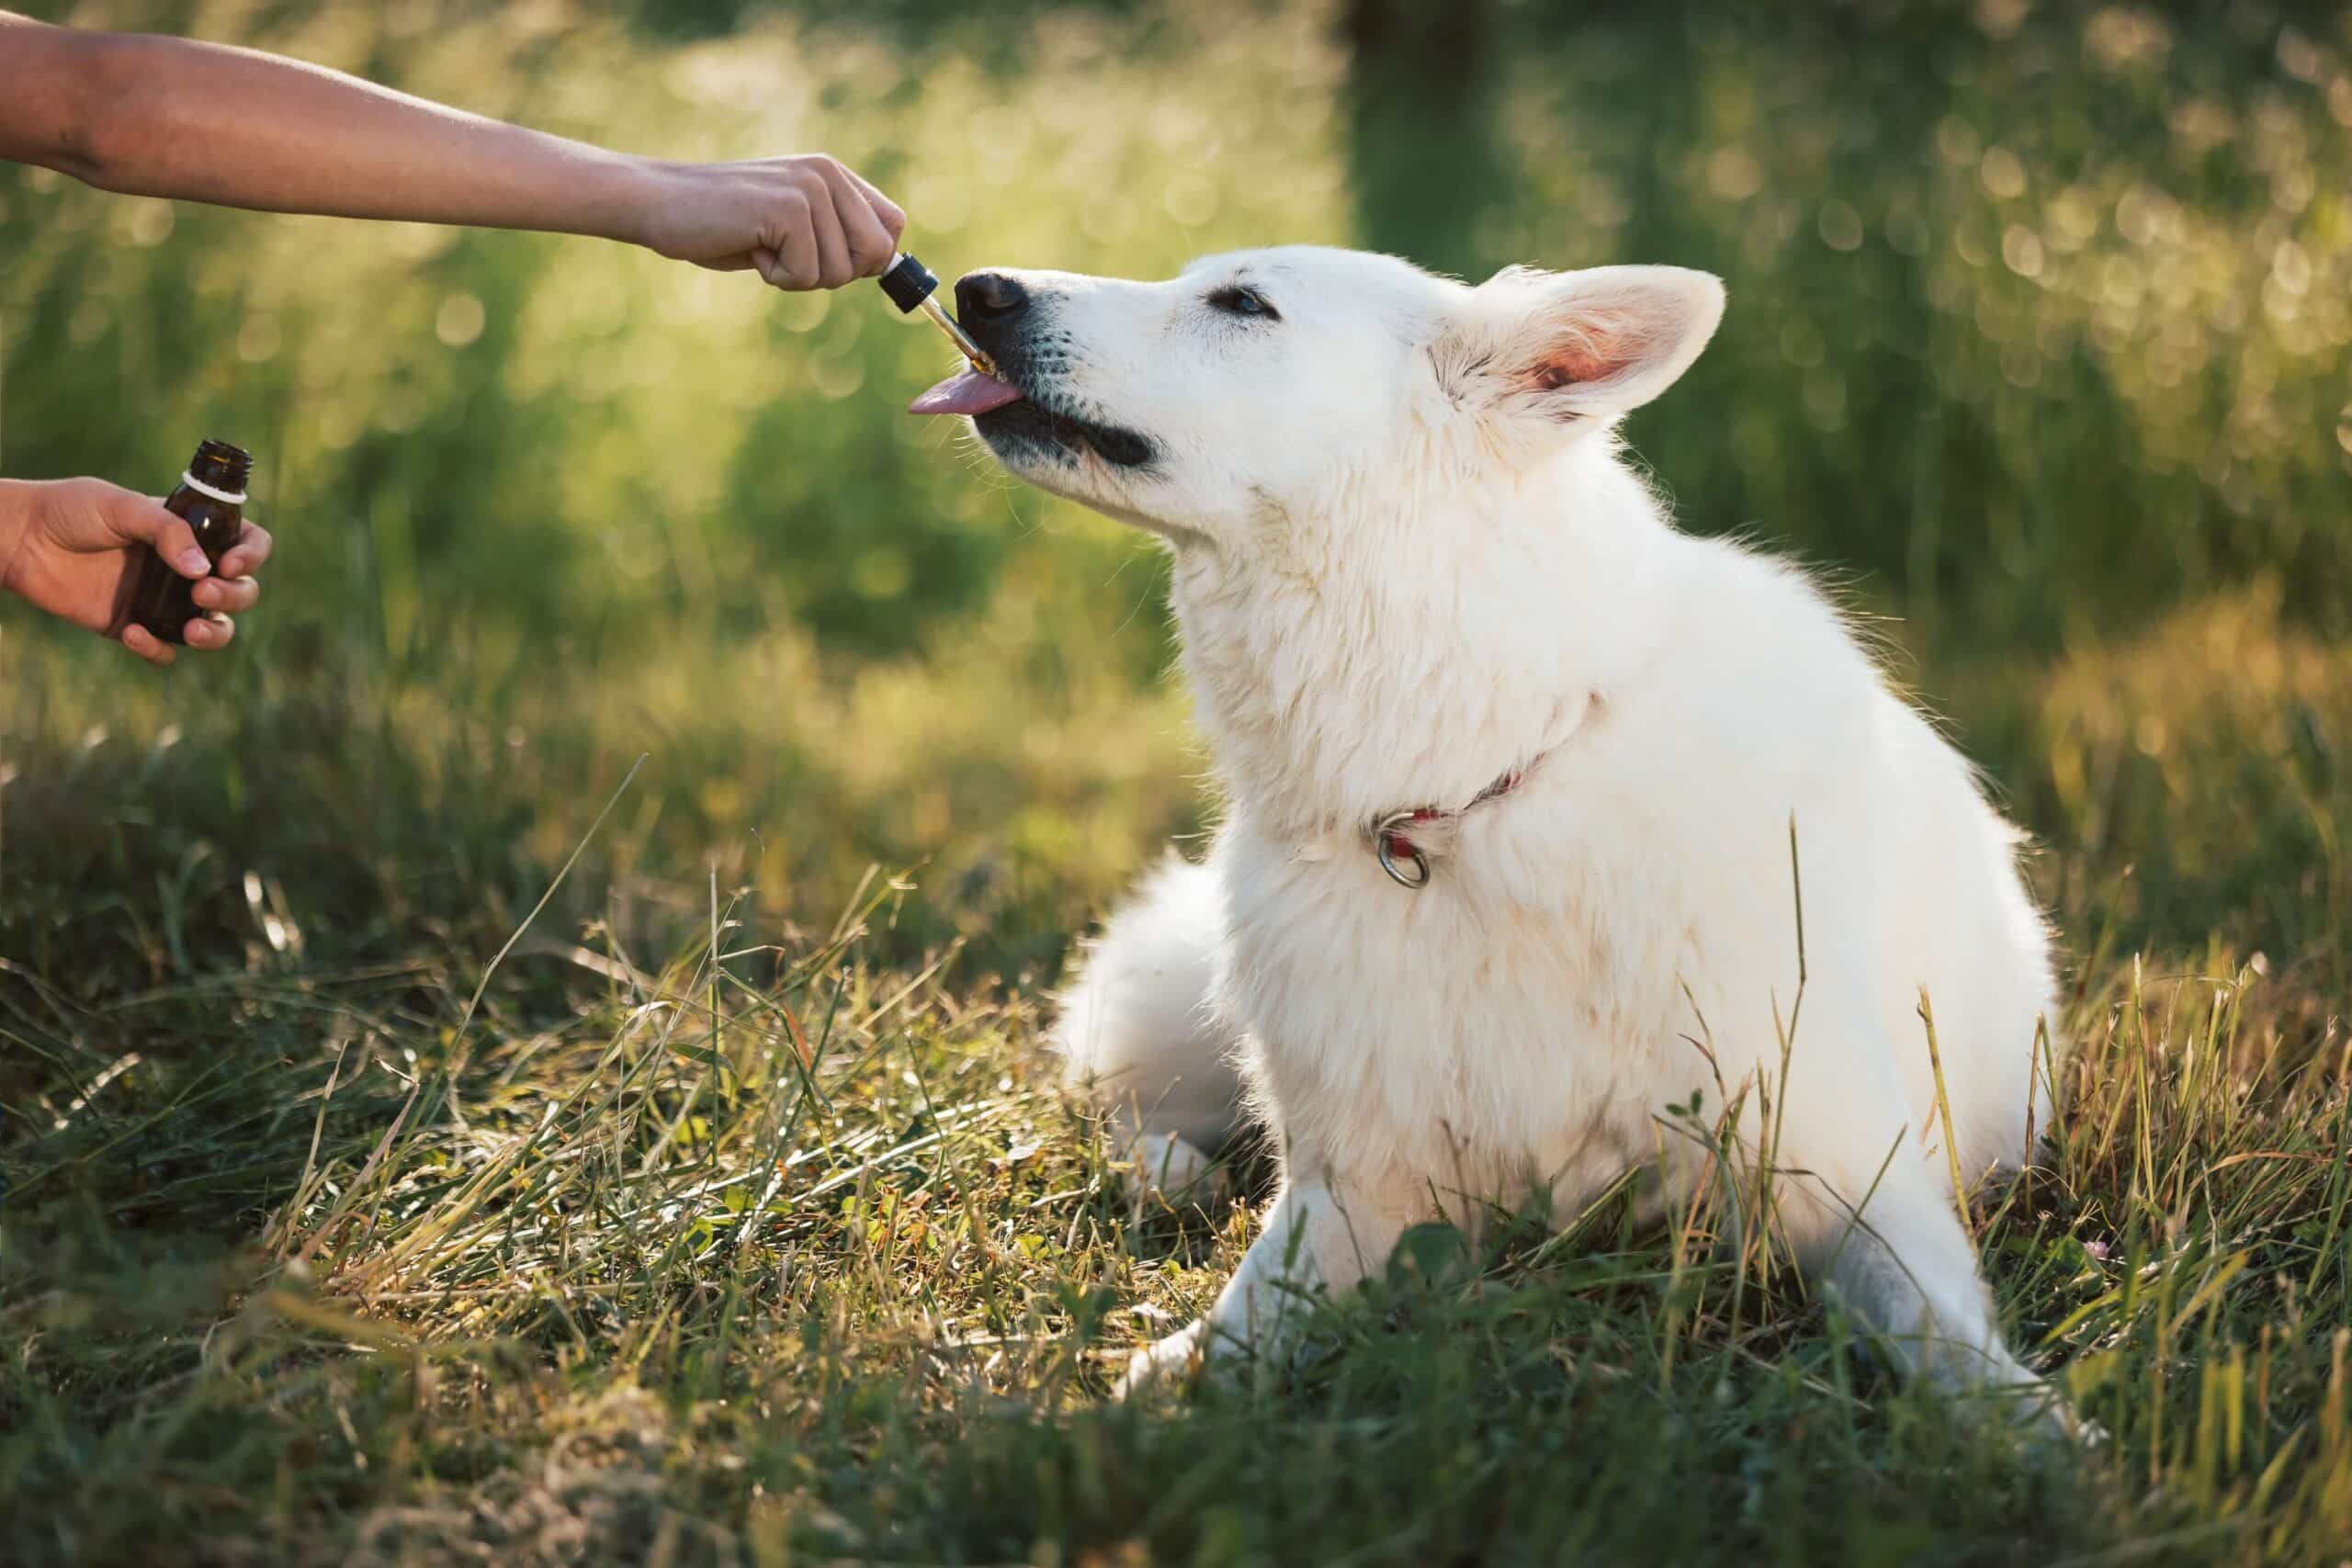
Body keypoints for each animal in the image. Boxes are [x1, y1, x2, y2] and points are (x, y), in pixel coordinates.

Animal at [908, 242, 2069, 1419]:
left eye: (1241, 304)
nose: (977, 289)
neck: (1463, 789)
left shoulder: (1846, 1173)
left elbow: (1935, 1321)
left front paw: (2027, 1427)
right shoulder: (1354, 1186)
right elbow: (1241, 1323)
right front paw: (1153, 1389)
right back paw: (1168, 1173)